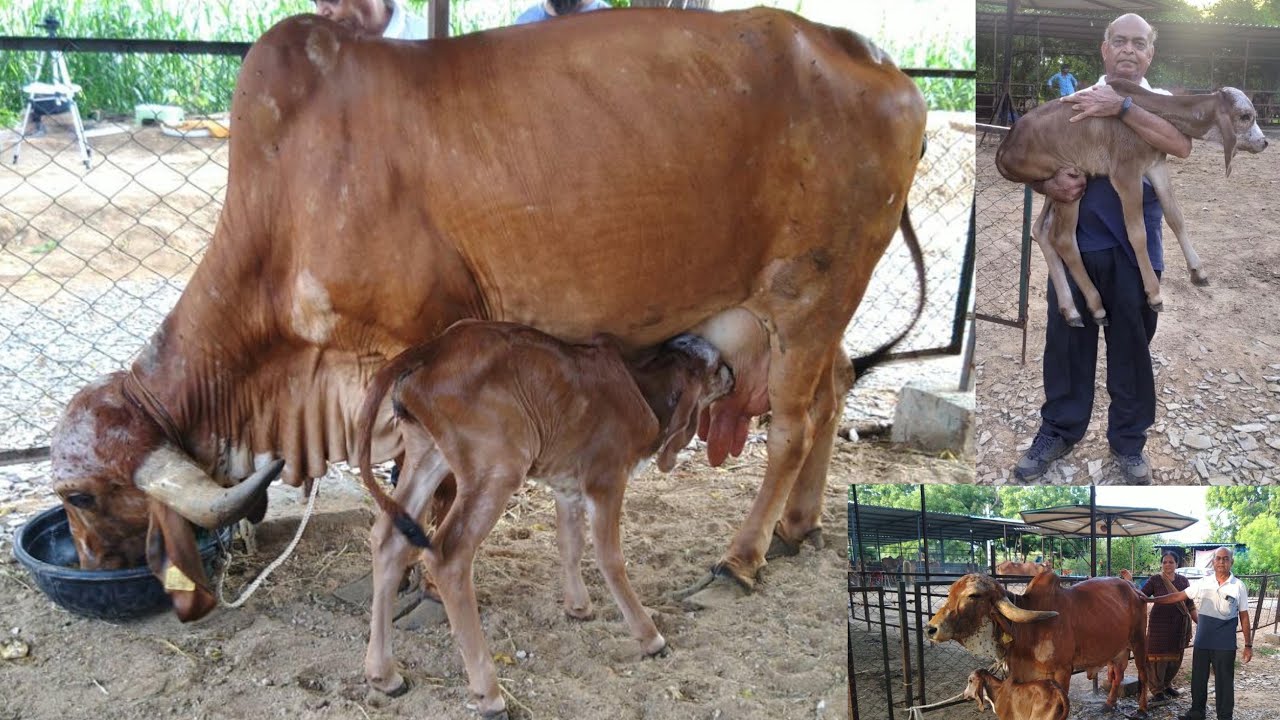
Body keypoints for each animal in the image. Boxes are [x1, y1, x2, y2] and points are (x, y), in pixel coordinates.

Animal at [46, 8, 927, 620]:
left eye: (80, 497)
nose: (89, 564)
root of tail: (876, 59)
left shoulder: (421, 345)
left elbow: (420, 486)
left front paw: (423, 580)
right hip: (809, 313)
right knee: (834, 390)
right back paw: (800, 527)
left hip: (810, 294)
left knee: (792, 426)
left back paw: (741, 558)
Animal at [354, 321, 733, 715]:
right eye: (716, 366)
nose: (733, 375)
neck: (642, 387)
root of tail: (435, 347)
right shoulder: (606, 479)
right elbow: (610, 558)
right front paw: (650, 637)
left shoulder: (566, 484)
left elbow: (570, 543)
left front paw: (578, 607)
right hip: (498, 467)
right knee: (448, 555)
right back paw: (489, 694)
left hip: (427, 453)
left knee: (389, 539)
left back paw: (384, 675)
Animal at [926, 572, 1149, 714]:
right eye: (950, 592)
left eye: (973, 595)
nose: (931, 628)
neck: (1028, 631)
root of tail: (1134, 589)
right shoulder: (1023, 675)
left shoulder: (1062, 672)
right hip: (1117, 650)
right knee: (1118, 674)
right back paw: (1109, 704)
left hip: (1139, 642)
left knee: (1142, 673)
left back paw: (1142, 708)